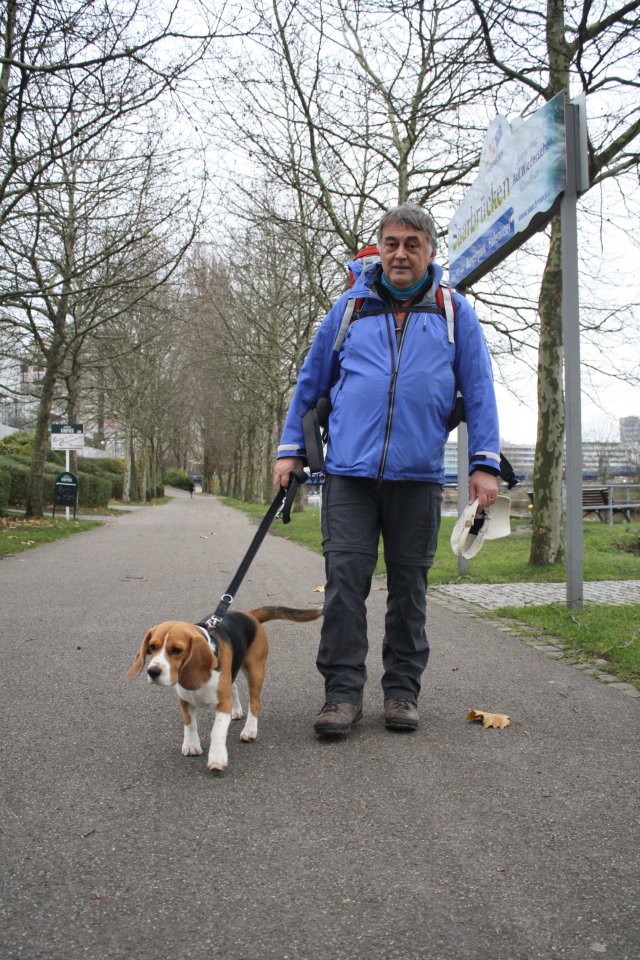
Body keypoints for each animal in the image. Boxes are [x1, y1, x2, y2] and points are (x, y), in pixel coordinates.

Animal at [125, 608, 322, 772]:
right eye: (152, 646)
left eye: (176, 650)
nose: (153, 671)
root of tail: (249, 614)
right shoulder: (184, 701)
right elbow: (190, 724)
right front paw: (191, 745)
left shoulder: (222, 704)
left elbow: (217, 731)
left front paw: (217, 758)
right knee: (234, 687)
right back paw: (237, 711)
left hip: (255, 670)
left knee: (255, 702)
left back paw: (250, 730)